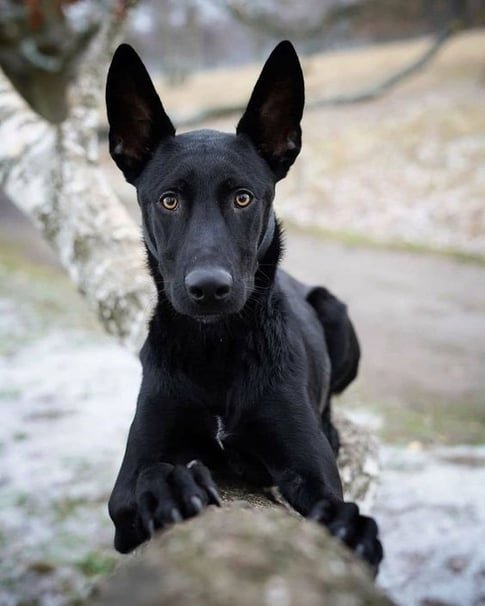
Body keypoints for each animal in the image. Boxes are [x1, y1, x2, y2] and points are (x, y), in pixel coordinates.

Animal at [105, 40, 382, 572]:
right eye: (168, 201)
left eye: (242, 198)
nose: (209, 288)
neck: (217, 347)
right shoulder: (125, 489)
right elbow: (145, 478)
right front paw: (172, 486)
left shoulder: (308, 467)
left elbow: (327, 498)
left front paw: (349, 526)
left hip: (334, 310)